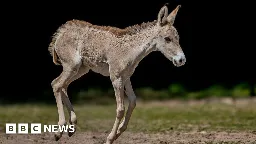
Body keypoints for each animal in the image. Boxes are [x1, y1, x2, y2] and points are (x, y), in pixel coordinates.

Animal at [48, 4, 186, 144]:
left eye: (178, 38)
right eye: (167, 38)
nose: (181, 60)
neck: (130, 50)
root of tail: (60, 33)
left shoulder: (126, 77)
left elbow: (133, 101)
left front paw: (119, 131)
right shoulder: (116, 77)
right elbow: (120, 109)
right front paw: (110, 138)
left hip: (81, 69)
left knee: (61, 85)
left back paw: (72, 127)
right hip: (72, 66)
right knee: (57, 85)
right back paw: (59, 132)